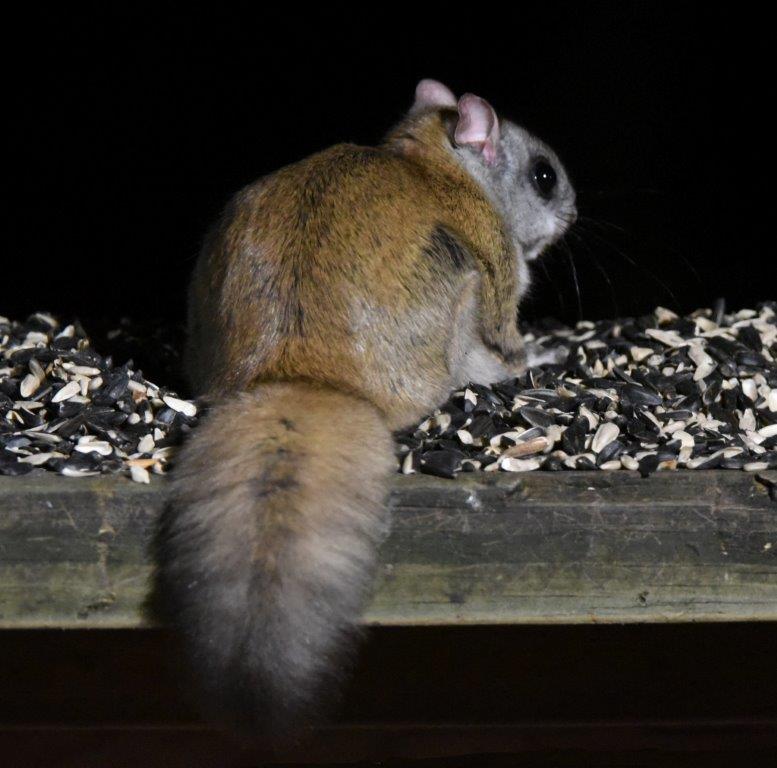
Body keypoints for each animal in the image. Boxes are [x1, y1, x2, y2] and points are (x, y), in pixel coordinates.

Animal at [156, 79, 576, 736]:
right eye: (543, 176)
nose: (573, 211)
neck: (438, 163)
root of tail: (304, 373)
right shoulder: (498, 274)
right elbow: (510, 338)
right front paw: (542, 349)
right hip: (460, 309)